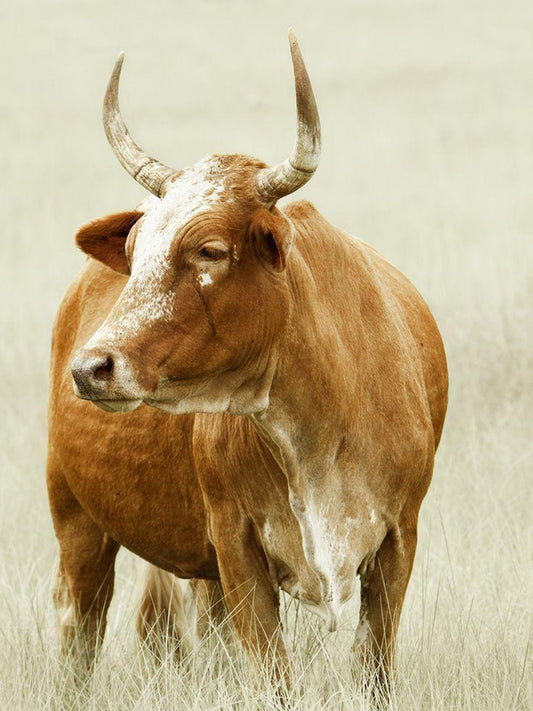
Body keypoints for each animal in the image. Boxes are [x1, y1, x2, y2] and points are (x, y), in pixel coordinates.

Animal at [47, 31, 448, 691]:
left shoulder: (398, 540)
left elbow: (375, 668)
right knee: (79, 631)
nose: (91, 369)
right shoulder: (237, 547)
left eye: (210, 250)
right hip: (77, 520)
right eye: (134, 249)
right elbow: (272, 673)